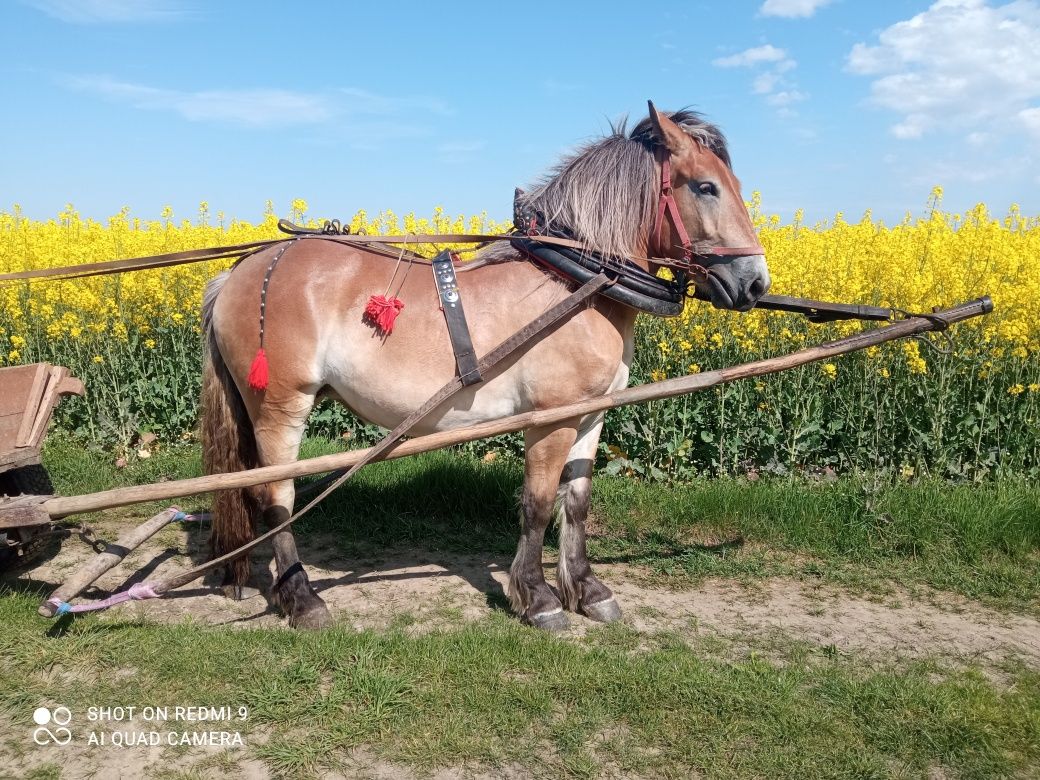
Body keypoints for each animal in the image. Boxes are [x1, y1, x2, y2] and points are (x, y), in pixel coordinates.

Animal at [204, 105, 773, 628]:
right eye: (705, 187)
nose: (755, 283)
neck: (578, 283)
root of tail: (238, 272)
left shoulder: (592, 413)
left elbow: (577, 502)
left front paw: (587, 590)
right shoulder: (551, 417)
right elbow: (538, 504)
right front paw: (538, 598)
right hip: (281, 404)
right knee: (277, 495)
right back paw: (302, 599)